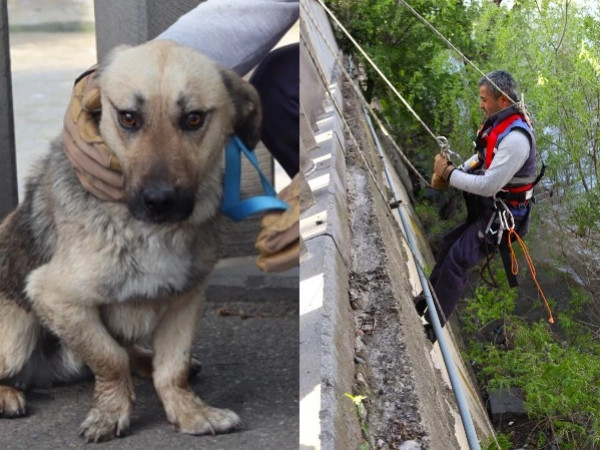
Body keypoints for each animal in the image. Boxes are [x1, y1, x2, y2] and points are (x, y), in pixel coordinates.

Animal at [0, 40, 260, 442]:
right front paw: (111, 413)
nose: (159, 201)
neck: (149, 231)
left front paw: (189, 411)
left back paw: (146, 360)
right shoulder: (53, 295)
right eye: (128, 118)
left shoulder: (186, 299)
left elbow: (173, 368)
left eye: (194, 119)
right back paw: (7, 394)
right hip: (16, 334)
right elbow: (109, 358)